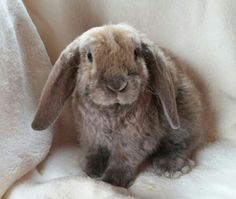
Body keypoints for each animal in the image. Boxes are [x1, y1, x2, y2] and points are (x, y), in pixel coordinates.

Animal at [32, 23, 204, 188]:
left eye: (136, 53)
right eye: (89, 56)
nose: (117, 85)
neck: (111, 108)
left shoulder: (134, 139)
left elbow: (124, 158)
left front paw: (112, 181)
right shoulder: (91, 136)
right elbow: (94, 153)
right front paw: (90, 171)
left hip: (183, 117)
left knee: (181, 143)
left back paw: (169, 167)